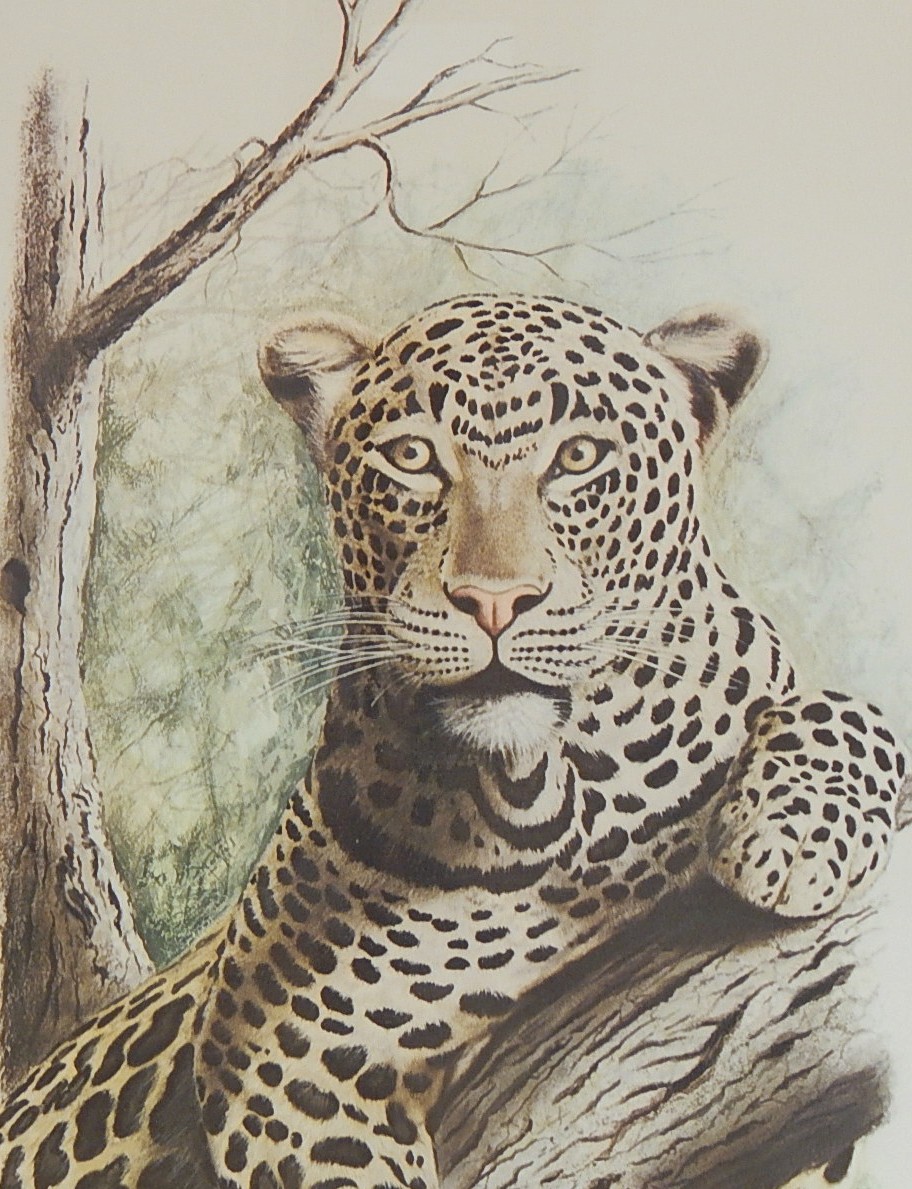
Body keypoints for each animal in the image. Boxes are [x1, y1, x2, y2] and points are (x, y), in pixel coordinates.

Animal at [0, 293, 905, 1189]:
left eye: (578, 456)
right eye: (412, 456)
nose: (494, 600)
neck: (565, 789)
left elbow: (862, 717)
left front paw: (791, 835)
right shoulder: (282, 1054)